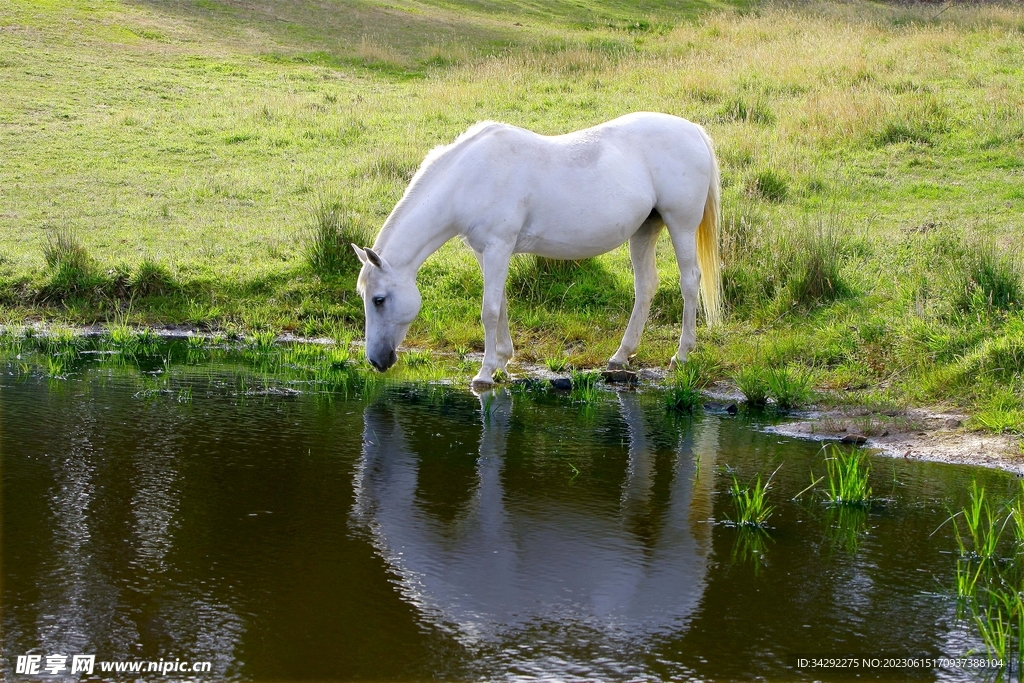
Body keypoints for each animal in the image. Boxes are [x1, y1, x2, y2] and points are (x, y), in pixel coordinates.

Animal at [356, 109, 724, 382]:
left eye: (378, 299)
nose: (376, 360)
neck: (469, 177)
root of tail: (693, 130)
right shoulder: (486, 252)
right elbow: (501, 305)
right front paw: (503, 360)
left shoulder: (498, 247)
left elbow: (489, 311)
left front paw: (485, 373)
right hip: (645, 230)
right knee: (646, 286)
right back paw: (621, 356)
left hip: (681, 225)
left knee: (689, 281)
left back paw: (682, 354)